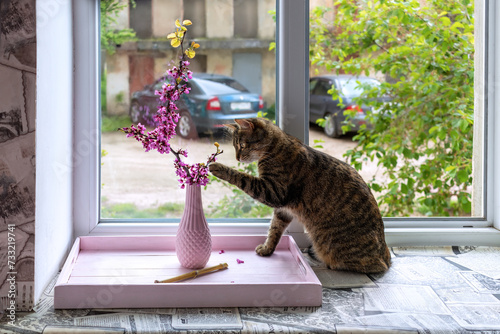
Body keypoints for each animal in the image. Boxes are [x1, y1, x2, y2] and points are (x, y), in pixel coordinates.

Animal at [207, 117, 390, 274]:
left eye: (242, 145)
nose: (237, 158)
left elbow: (243, 178)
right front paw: (267, 249)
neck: (276, 148)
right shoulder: (283, 210)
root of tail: (386, 257)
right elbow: (274, 230)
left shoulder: (273, 191)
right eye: (235, 146)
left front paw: (221, 168)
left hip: (331, 245)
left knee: (371, 266)